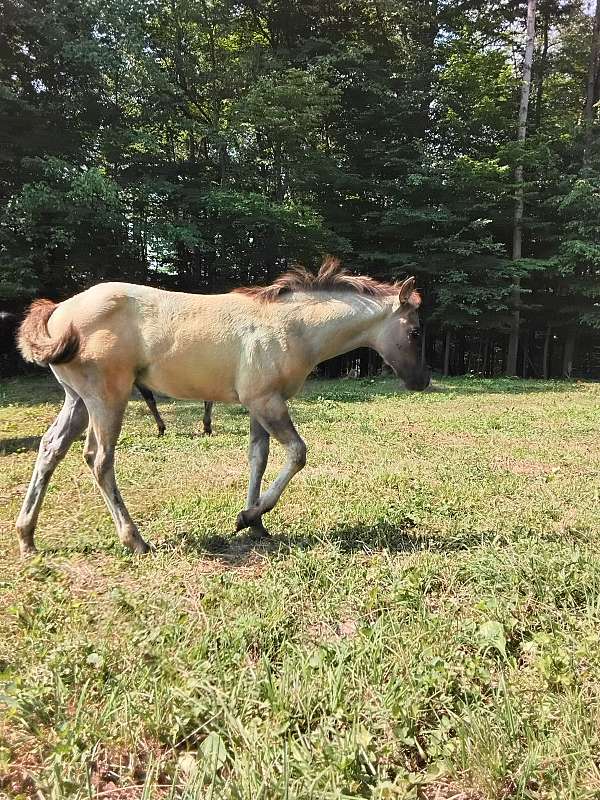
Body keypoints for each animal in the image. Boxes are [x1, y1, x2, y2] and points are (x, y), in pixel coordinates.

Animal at [16, 258, 428, 556]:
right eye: (414, 332)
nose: (421, 381)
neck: (290, 326)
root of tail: (59, 311)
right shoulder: (265, 401)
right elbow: (297, 453)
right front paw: (247, 516)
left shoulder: (261, 402)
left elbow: (258, 458)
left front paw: (256, 523)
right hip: (107, 398)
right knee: (99, 459)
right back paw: (135, 540)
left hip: (77, 400)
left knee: (50, 449)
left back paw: (26, 537)